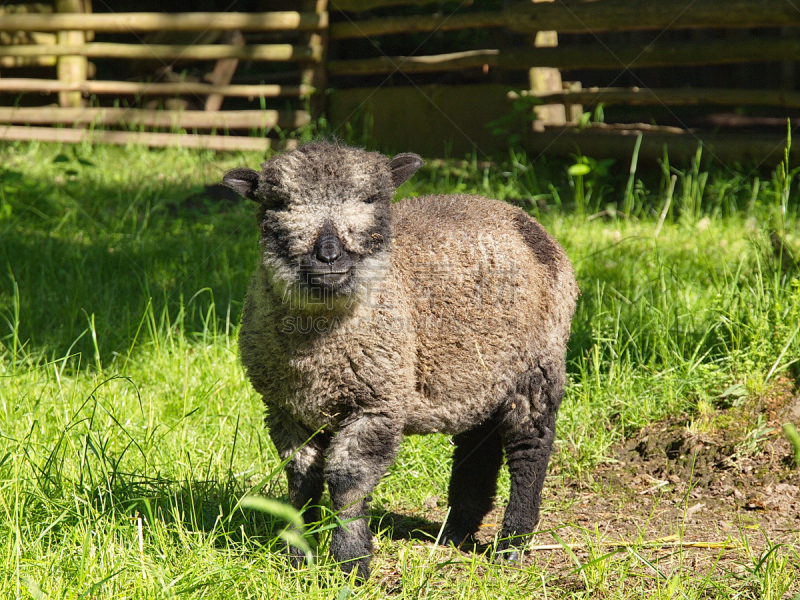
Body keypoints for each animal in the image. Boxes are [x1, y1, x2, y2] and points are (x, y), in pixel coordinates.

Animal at [222, 139, 580, 576]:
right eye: (279, 204)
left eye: (372, 199)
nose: (329, 256)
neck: (316, 354)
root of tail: (521, 217)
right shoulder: (284, 409)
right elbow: (301, 479)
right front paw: (298, 554)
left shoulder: (377, 402)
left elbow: (347, 482)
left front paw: (351, 562)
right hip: (478, 375)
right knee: (479, 445)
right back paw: (456, 531)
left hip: (537, 364)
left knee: (531, 449)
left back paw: (512, 544)